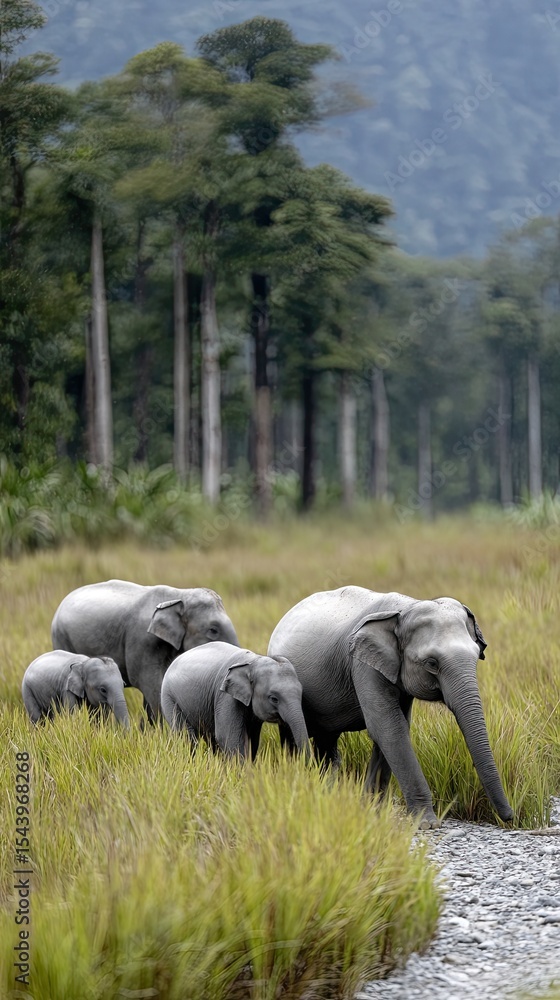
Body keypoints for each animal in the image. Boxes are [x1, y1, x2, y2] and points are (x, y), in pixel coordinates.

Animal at [160, 641, 310, 758]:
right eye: (274, 699)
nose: (309, 766)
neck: (254, 661)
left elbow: (252, 739)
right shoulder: (226, 696)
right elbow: (228, 736)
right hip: (169, 698)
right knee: (186, 737)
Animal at [268, 587, 513, 828]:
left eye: (477, 655)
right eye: (432, 664)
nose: (510, 816)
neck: (406, 608)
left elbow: (395, 728)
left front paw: (371, 813)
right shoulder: (362, 663)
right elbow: (388, 728)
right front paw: (427, 824)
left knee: (326, 742)